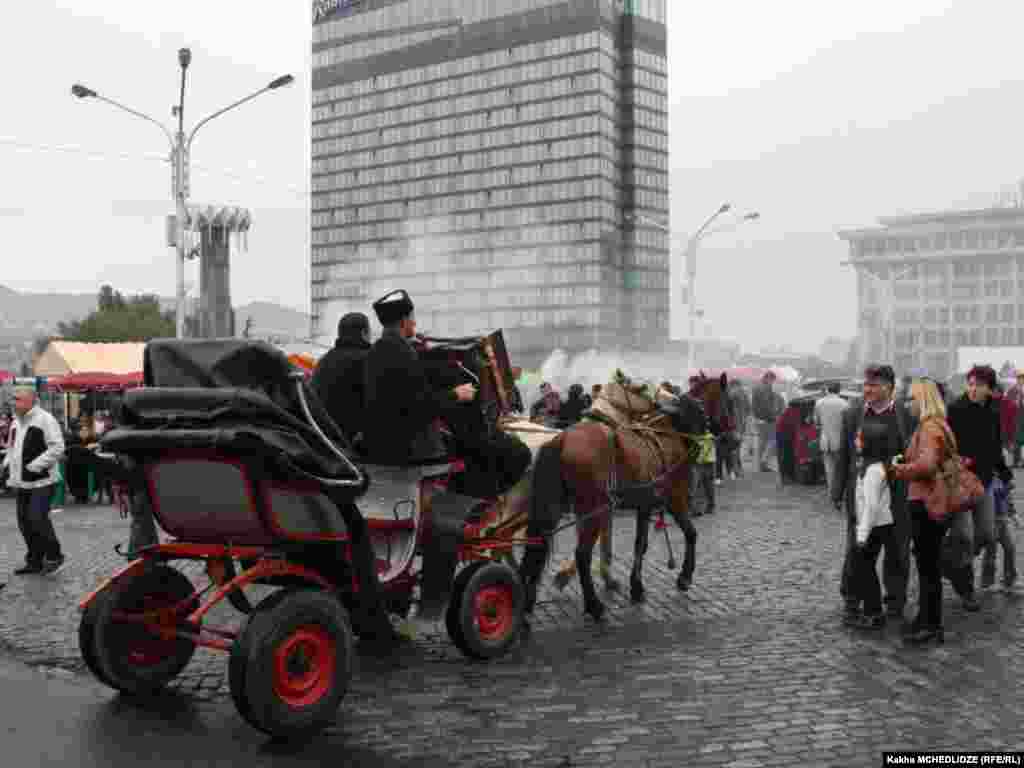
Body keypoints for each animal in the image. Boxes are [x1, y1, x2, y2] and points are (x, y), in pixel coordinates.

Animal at [520, 376, 729, 622]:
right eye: (726, 400)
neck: (669, 433)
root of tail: (562, 438)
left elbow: (640, 544)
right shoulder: (675, 498)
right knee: (582, 554)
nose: (726, 432)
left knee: (538, 545)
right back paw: (593, 605)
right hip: (594, 507)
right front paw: (684, 577)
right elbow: (690, 533)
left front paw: (636, 587)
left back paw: (526, 602)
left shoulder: (645, 505)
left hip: (563, 507)